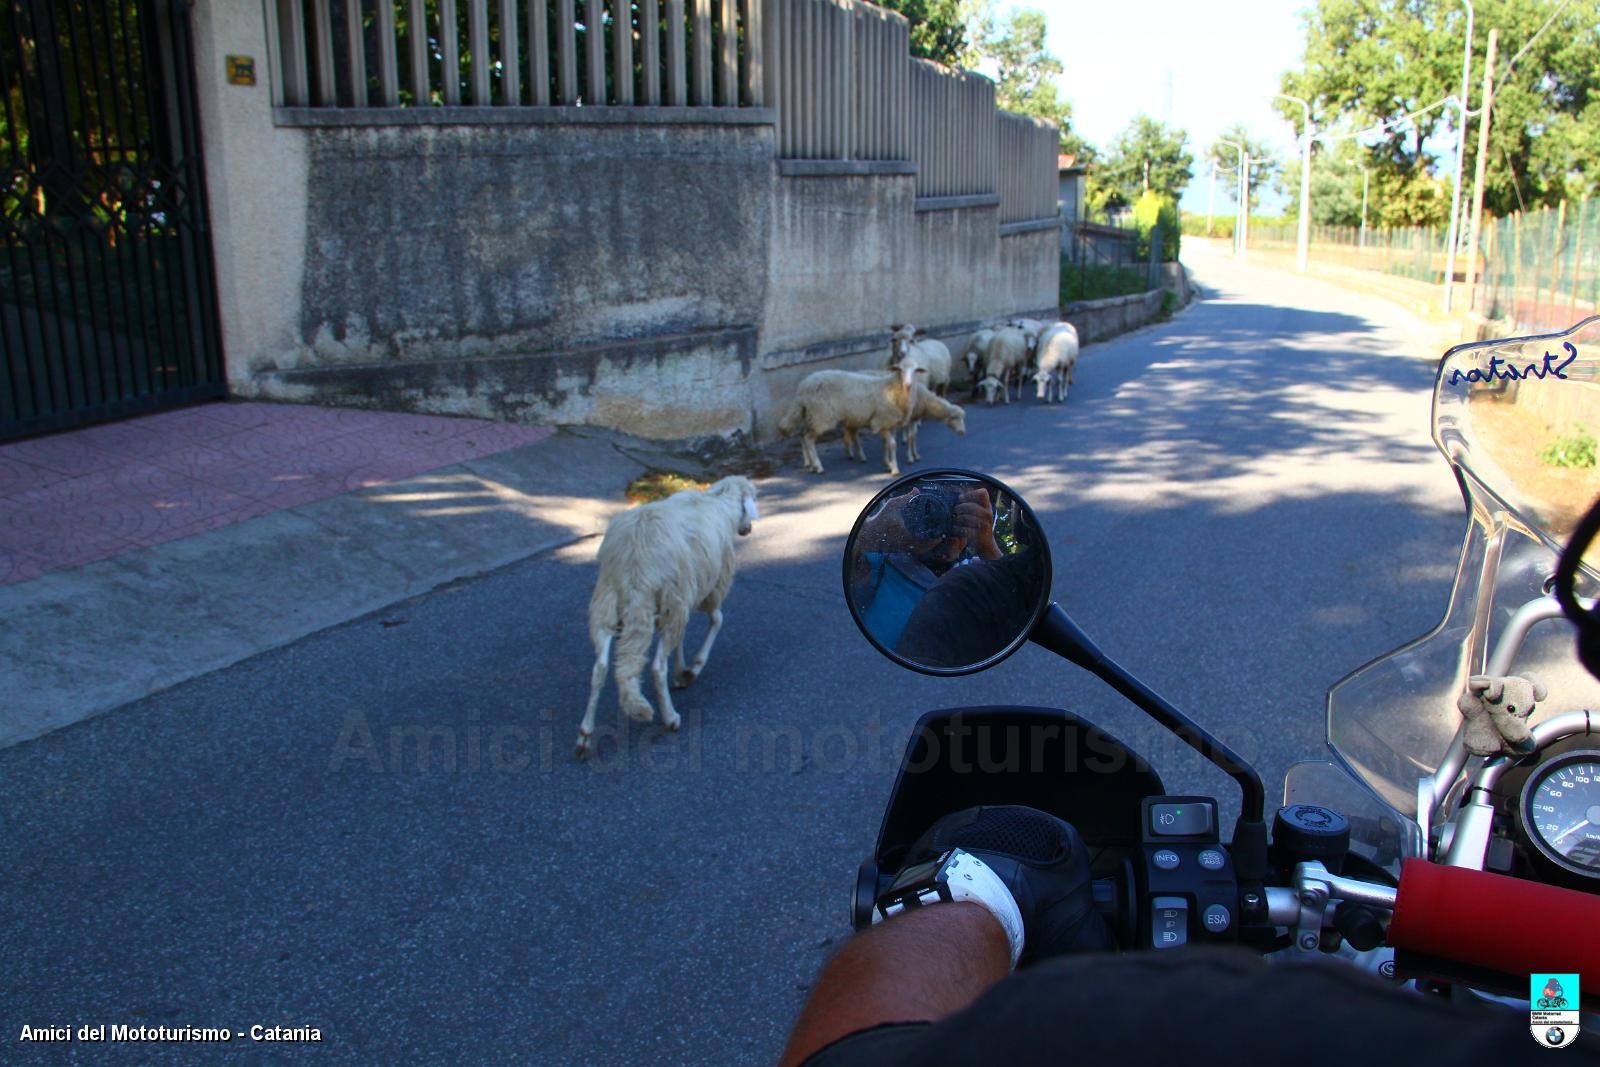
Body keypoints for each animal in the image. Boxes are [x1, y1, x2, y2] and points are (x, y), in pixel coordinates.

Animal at [576, 476, 761, 758]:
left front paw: (681, 670)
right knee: (655, 667)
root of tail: (636, 561)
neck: (718, 501)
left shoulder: (683, 599)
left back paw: (585, 734)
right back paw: (670, 717)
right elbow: (717, 620)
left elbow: (682, 638)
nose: (748, 530)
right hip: (665, 596)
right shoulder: (708, 590)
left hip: (608, 601)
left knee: (601, 667)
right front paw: (692, 668)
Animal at [777, 358, 928, 476]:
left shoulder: (890, 424)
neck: (893, 390)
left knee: (802, 435)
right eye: (900, 370)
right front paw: (894, 468)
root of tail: (802, 387)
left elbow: (886, 444)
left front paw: (887, 464)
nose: (908, 385)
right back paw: (818, 467)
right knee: (808, 438)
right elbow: (892, 444)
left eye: (916, 370)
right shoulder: (881, 421)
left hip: (810, 414)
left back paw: (809, 464)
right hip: (822, 415)